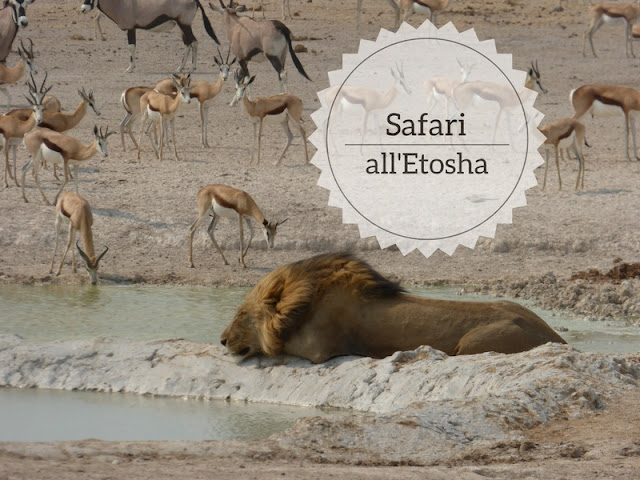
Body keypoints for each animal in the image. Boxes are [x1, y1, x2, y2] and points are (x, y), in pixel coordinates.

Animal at [221, 253, 564, 362]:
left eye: (241, 314)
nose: (222, 340)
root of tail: (555, 336)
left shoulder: (317, 348)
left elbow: (274, 346)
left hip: (472, 342)